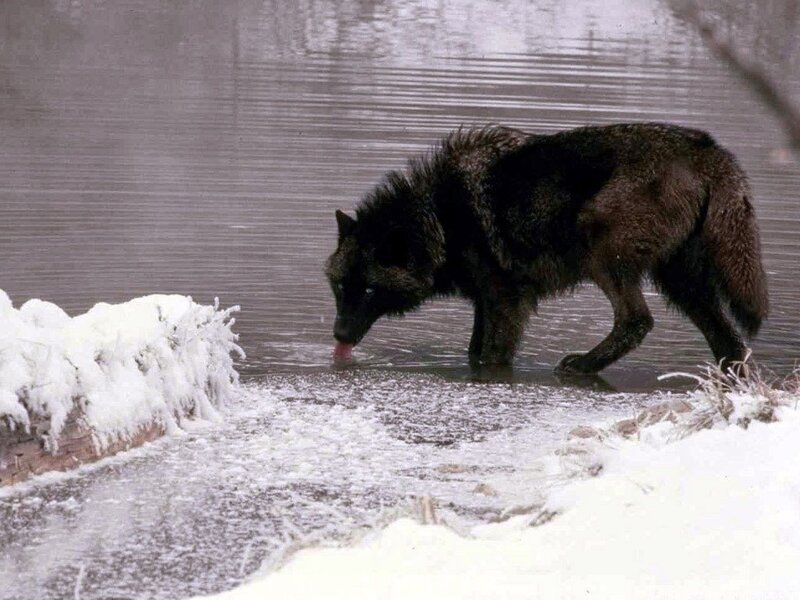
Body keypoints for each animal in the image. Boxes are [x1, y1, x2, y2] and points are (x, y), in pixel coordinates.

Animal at [326, 123, 768, 373]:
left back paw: (583, 365)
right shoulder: (485, 300)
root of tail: (706, 148)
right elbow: (473, 353)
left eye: (370, 289)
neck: (439, 216)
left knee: (636, 321)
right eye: (340, 287)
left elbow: (493, 356)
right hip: (680, 283)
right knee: (730, 343)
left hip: (605, 256)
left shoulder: (506, 300)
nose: (339, 334)